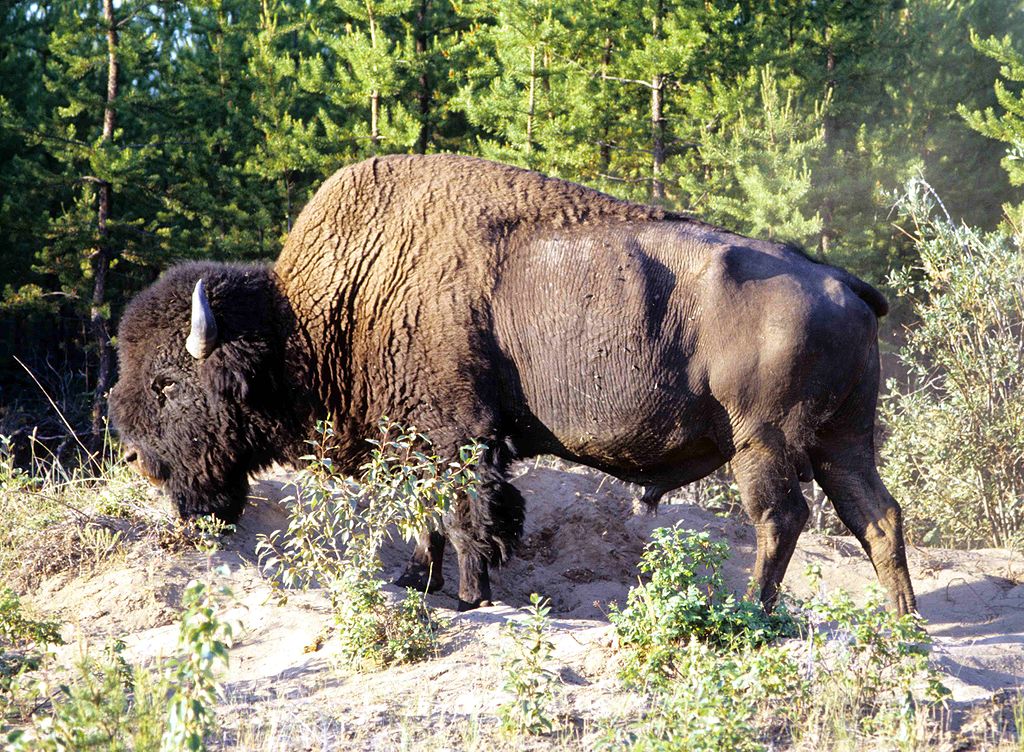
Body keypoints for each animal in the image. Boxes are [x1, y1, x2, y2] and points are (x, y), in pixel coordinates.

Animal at [108, 154, 917, 618]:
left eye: (168, 383)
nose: (140, 461)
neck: (317, 314)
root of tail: (843, 283)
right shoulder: (414, 443)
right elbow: (427, 516)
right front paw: (417, 581)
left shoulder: (460, 435)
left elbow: (472, 514)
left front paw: (471, 597)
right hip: (843, 440)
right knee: (878, 517)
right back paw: (902, 623)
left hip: (766, 442)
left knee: (781, 518)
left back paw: (753, 615)